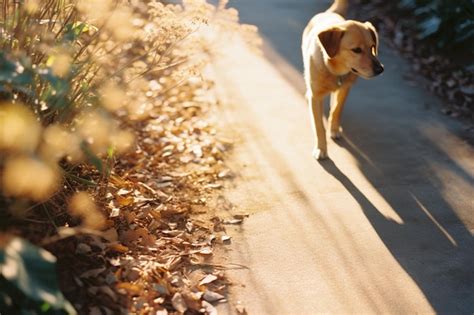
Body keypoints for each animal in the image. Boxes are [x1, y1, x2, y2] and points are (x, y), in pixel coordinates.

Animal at [304, 0, 386, 160]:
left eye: (373, 47)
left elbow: (337, 109)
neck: (334, 71)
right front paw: (321, 148)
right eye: (356, 50)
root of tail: (330, 13)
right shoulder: (316, 96)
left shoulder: (345, 89)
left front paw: (334, 128)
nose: (380, 69)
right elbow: (319, 127)